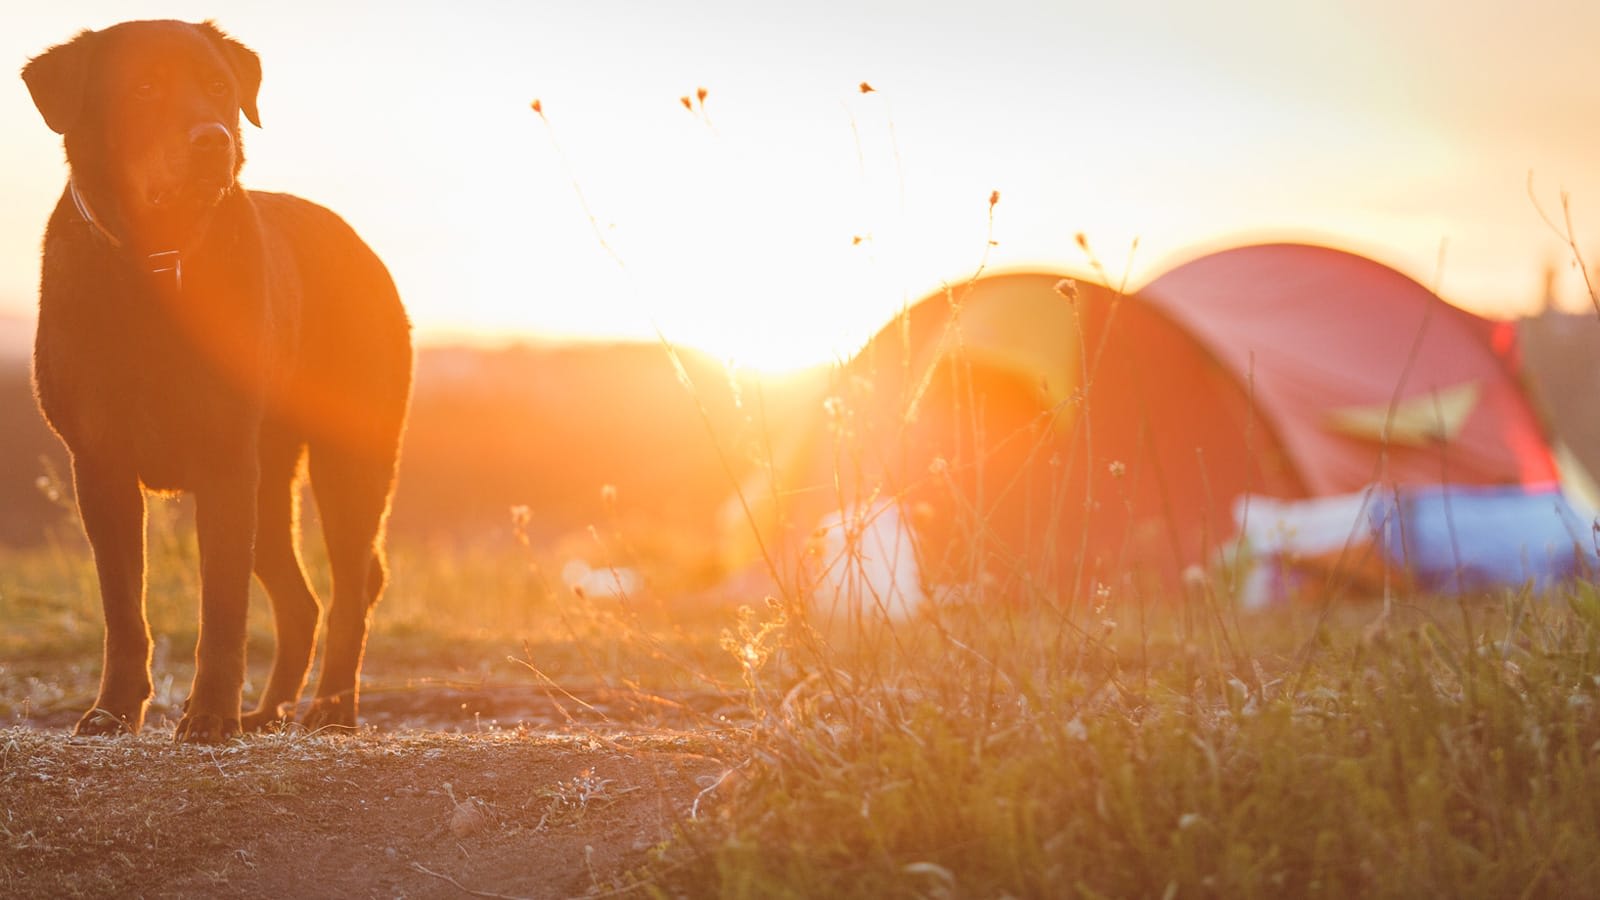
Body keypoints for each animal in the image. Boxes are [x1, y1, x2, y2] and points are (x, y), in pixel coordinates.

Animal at [23, 21, 412, 739]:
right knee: (301, 599)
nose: (213, 141)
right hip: (271, 481)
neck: (155, 264)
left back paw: (330, 708)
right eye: (144, 88)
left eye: (218, 87)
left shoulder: (225, 460)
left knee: (352, 588)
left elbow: (223, 607)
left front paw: (208, 716)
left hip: (348, 461)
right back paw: (268, 711)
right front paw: (114, 709)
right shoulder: (99, 465)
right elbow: (124, 609)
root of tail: (363, 248)